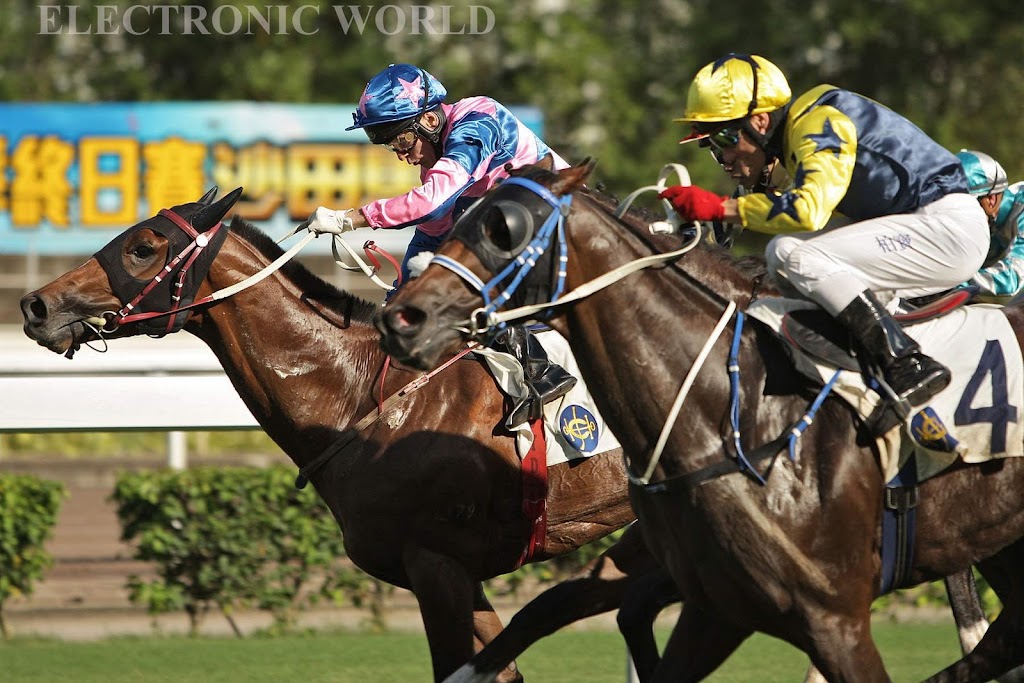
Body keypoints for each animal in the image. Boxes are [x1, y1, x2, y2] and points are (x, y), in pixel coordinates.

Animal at [377, 160, 1024, 681]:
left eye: (503, 228)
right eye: (460, 221)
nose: (403, 316)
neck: (733, 413)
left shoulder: (832, 616)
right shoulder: (715, 602)